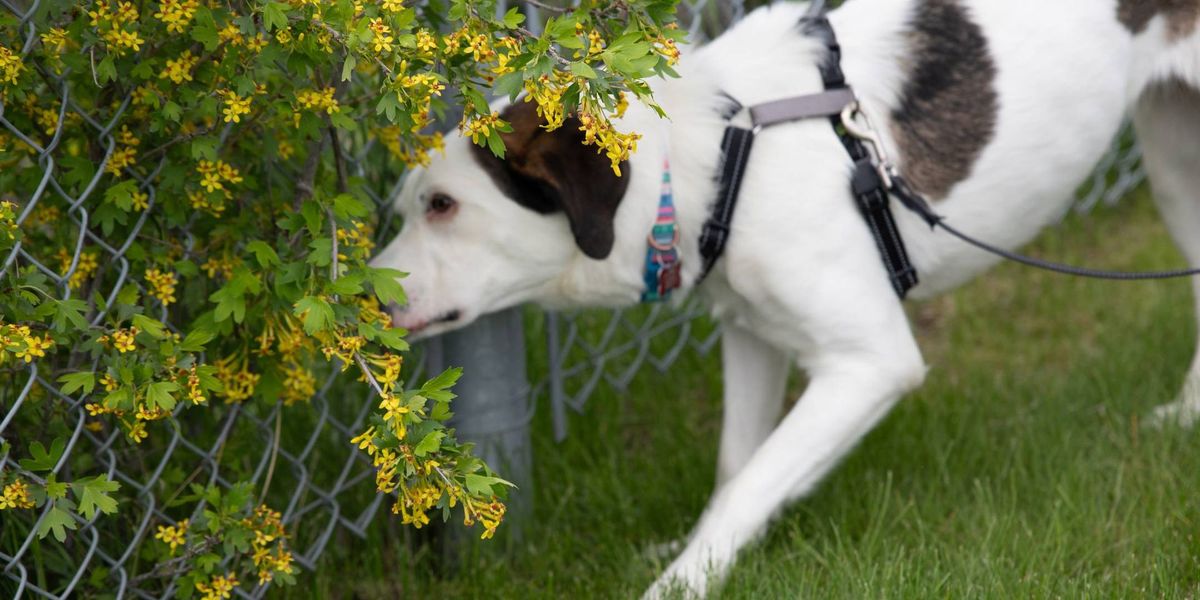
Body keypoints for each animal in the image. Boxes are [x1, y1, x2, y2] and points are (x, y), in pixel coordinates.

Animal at [372, 1, 1200, 595]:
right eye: (410, 205)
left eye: (443, 205)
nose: (369, 306)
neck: (714, 155)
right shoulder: (753, 332)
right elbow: (737, 469)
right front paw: (706, 555)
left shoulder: (871, 364)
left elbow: (749, 485)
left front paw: (678, 585)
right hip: (1172, 166)